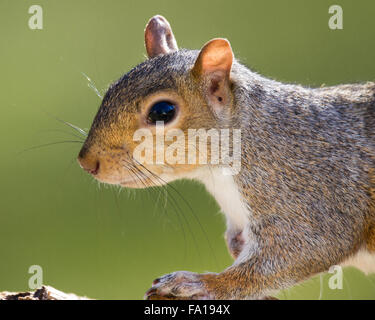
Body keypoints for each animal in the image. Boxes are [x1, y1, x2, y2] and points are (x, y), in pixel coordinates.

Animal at [78, 15, 375, 300]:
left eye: (163, 111)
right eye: (111, 90)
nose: (87, 162)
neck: (217, 175)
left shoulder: (307, 195)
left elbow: (304, 250)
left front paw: (201, 283)